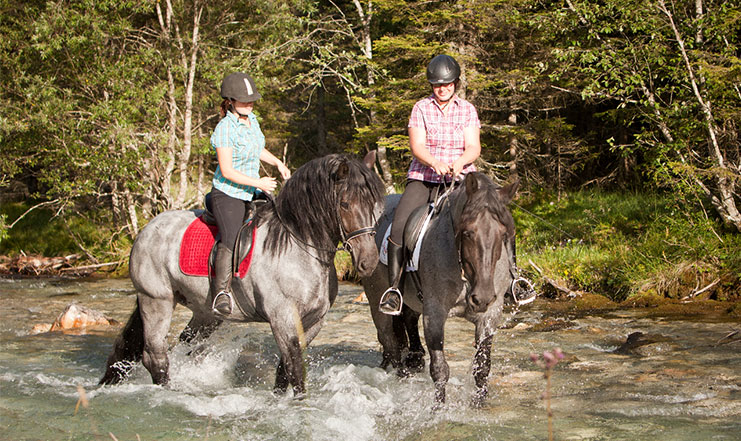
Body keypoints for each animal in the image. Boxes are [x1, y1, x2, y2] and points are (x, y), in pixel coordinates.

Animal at [100, 152, 384, 396]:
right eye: (345, 204)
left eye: (376, 207)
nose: (368, 262)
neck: (297, 246)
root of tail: (147, 229)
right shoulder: (282, 319)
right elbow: (294, 370)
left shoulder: (314, 321)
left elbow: (284, 371)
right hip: (156, 301)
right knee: (155, 356)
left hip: (205, 314)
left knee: (183, 345)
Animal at [362, 172, 516, 406]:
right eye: (468, 232)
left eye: (503, 233)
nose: (482, 298)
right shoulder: (434, 315)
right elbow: (440, 369)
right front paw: (438, 408)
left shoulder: (489, 315)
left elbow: (482, 367)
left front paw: (479, 403)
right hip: (376, 301)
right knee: (390, 344)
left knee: (408, 321)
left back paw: (414, 359)